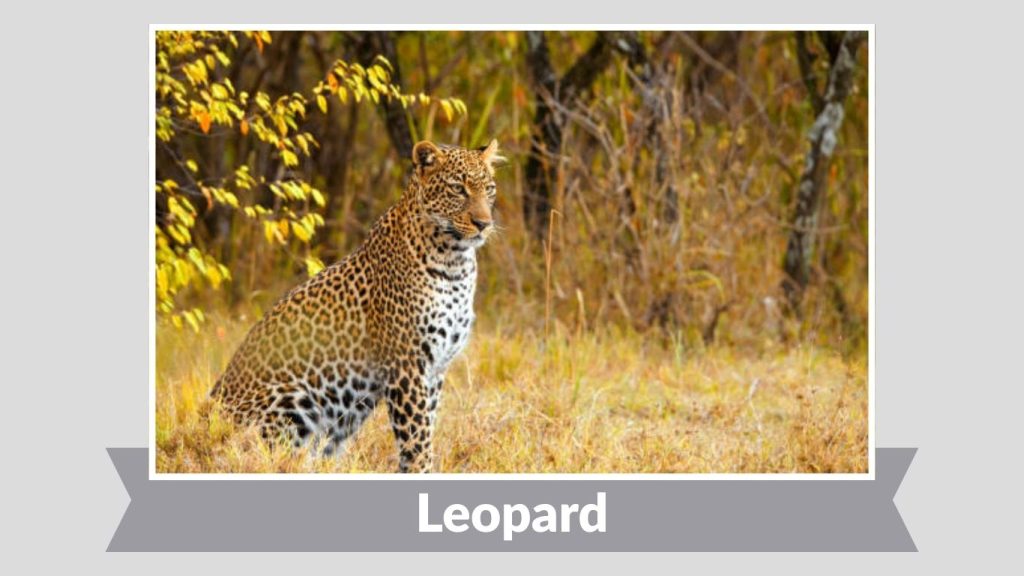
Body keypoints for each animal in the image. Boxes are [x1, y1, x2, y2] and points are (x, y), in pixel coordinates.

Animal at [210, 139, 502, 473]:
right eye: (457, 189)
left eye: (489, 189)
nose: (484, 224)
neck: (455, 263)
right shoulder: (406, 364)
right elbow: (416, 437)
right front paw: (421, 470)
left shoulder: (435, 369)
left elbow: (426, 426)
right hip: (293, 397)